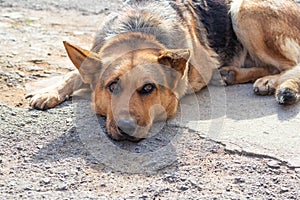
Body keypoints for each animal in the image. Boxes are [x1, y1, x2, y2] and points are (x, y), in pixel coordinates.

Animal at [25, 0, 300, 141]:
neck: (137, 29)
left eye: (148, 88)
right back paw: (234, 75)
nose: (126, 128)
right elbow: (73, 73)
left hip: (244, 9)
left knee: (291, 64)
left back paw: (273, 83)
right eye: (112, 86)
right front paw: (48, 92)